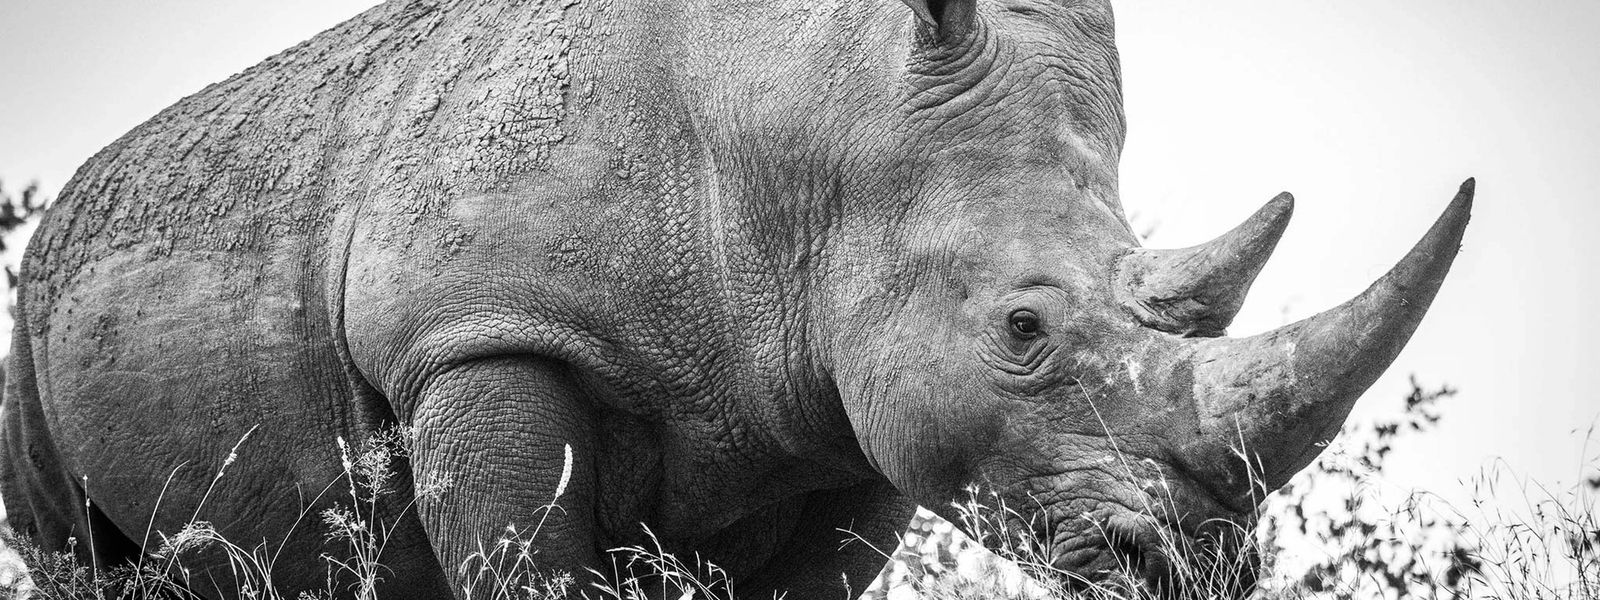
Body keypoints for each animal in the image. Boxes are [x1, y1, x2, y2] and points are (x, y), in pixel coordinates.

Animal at [1, 0, 1471, 597]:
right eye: (1023, 331)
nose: (1200, 561)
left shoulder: (849, 414)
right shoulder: (479, 338)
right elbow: (525, 565)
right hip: (29, 316)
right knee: (73, 549)